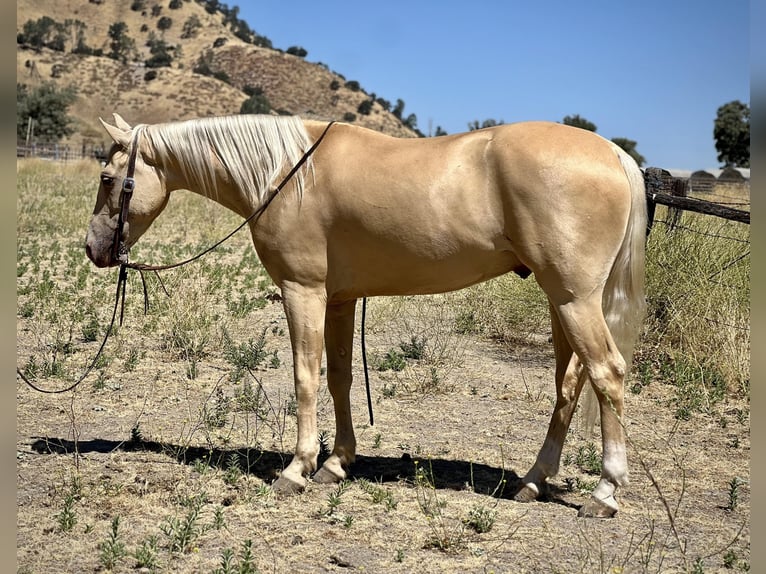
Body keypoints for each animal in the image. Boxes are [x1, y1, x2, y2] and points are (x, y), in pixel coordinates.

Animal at [87, 115, 644, 520]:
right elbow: (339, 377)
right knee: (569, 384)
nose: (94, 249)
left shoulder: (303, 292)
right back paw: (532, 481)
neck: (286, 174)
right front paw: (336, 463)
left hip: (573, 299)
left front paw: (297, 469)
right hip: (560, 302)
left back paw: (605, 492)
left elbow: (305, 377)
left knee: (607, 374)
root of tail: (615, 155)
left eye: (108, 178)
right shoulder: (339, 299)